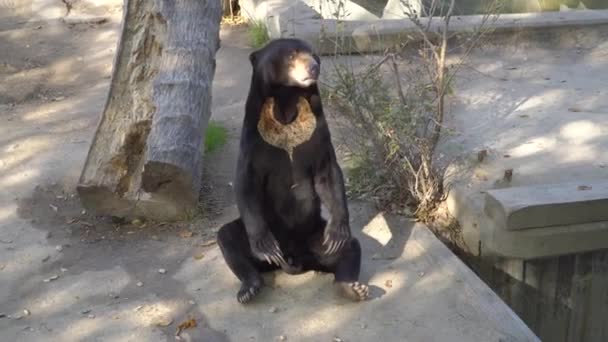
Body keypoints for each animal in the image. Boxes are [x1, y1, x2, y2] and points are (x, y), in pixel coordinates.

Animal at [216, 37, 368, 304]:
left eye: (314, 55)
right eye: (291, 55)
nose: (313, 68)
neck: (286, 98)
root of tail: (294, 258)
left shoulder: (317, 133)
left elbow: (328, 173)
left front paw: (338, 230)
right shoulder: (254, 140)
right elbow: (246, 182)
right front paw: (265, 246)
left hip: (315, 235)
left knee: (349, 248)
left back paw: (351, 286)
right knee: (228, 238)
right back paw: (249, 287)